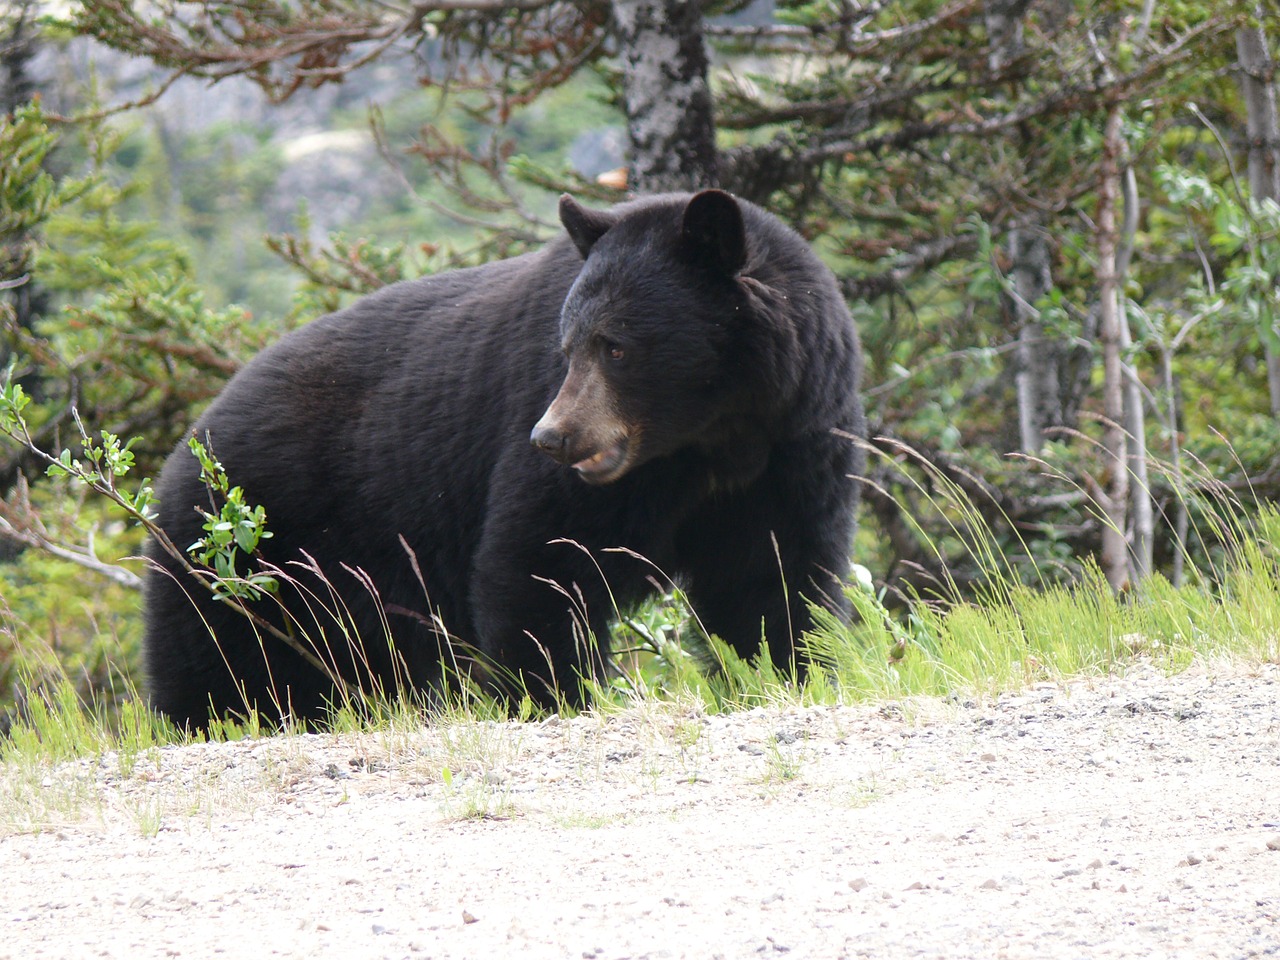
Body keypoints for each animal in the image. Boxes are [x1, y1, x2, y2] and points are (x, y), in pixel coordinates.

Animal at [145, 189, 865, 727]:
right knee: (219, 662)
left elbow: (773, 577)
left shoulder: (793, 449)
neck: (711, 441)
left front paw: (784, 671)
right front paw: (553, 693)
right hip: (241, 551)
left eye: (617, 346)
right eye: (567, 345)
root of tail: (185, 449)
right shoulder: (574, 470)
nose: (551, 437)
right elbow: (539, 562)